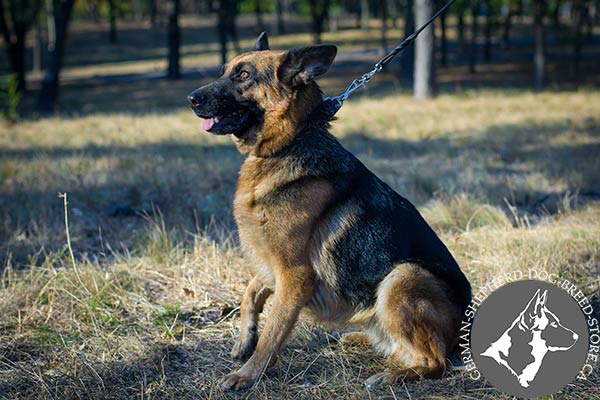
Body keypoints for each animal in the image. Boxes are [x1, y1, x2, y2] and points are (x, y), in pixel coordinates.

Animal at [189, 32, 474, 390]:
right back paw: (360, 336)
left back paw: (391, 375)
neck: (292, 141)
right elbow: (251, 291)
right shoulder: (271, 262)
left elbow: (274, 331)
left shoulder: (295, 275)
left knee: (435, 362)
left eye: (243, 75)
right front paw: (245, 338)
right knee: (400, 346)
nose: (191, 98)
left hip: (404, 275)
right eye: (224, 72)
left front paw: (248, 375)